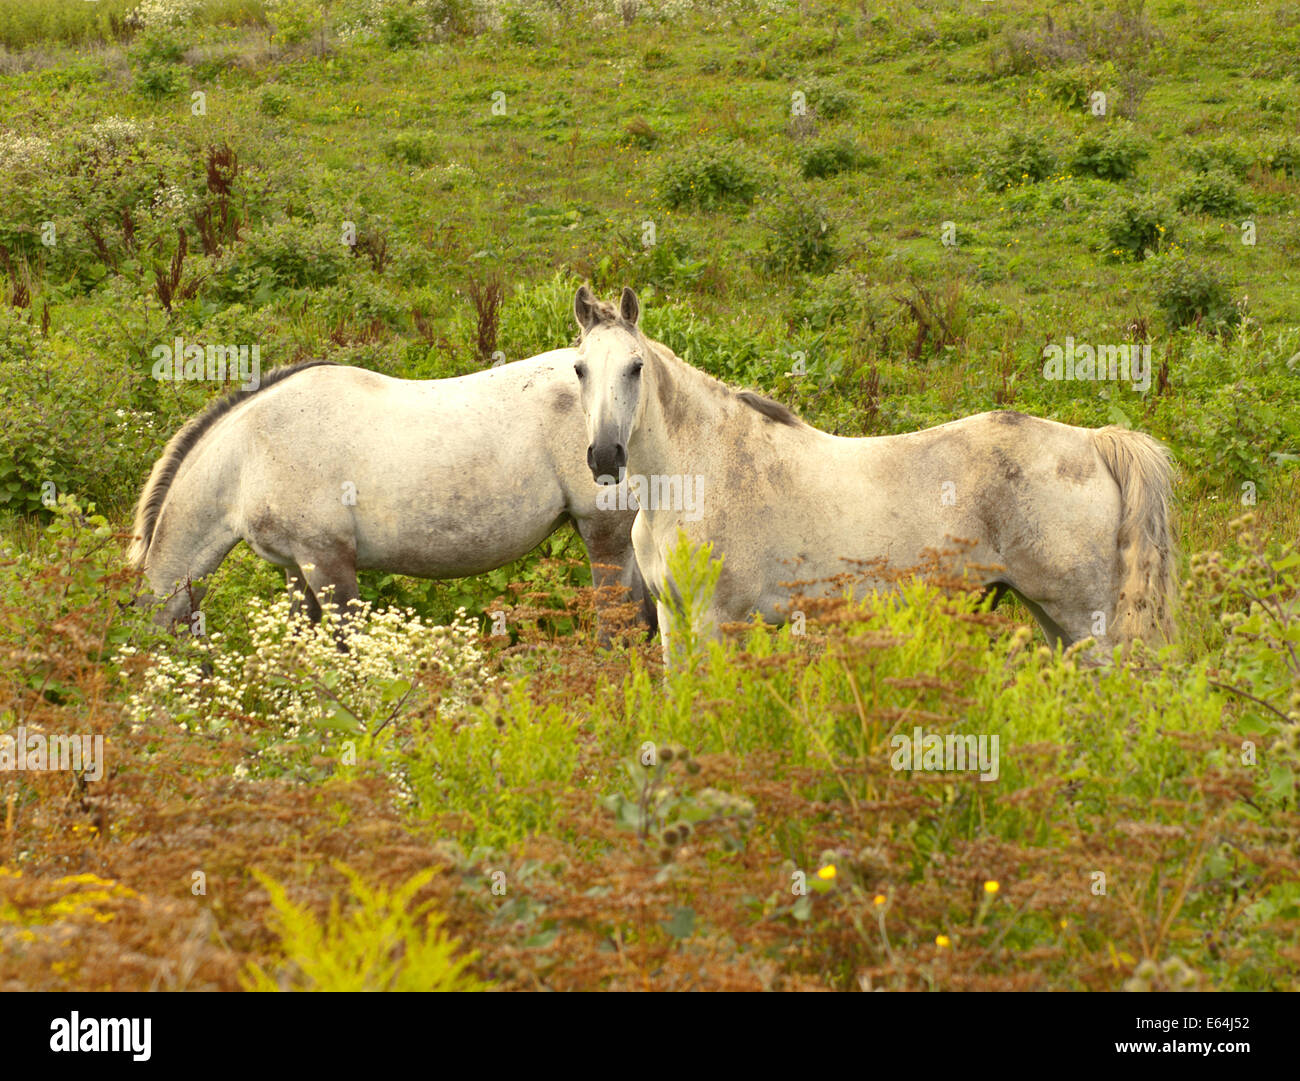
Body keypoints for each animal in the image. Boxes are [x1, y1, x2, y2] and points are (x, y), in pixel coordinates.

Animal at [569, 285, 1177, 665]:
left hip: (1085, 617)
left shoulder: (717, 619)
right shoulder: (674, 617)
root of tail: (1095, 442)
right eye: (579, 369)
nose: (604, 457)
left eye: (636, 367)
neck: (698, 474)